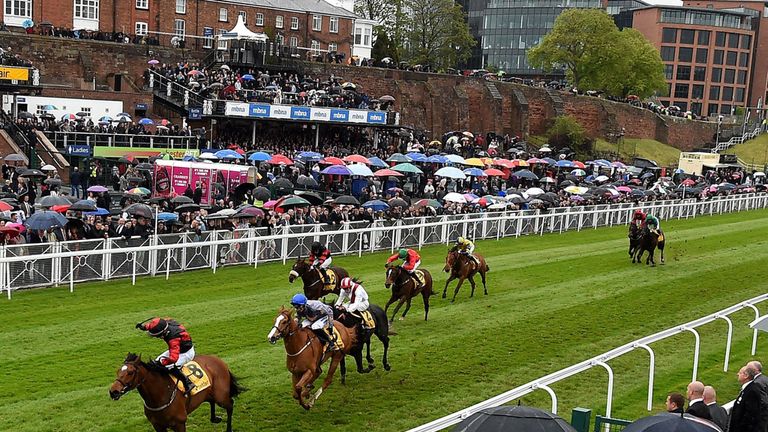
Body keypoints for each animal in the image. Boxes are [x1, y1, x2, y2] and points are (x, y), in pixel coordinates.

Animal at [109, 352, 243, 430]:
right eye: (118, 371)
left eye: (130, 372)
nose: (113, 391)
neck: (160, 396)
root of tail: (218, 360)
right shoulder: (158, 426)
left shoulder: (179, 423)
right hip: (209, 393)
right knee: (211, 401)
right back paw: (214, 418)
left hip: (221, 396)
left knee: (230, 405)